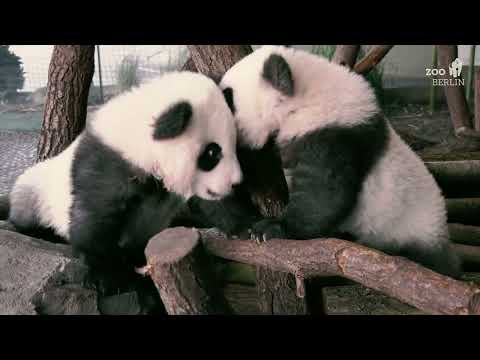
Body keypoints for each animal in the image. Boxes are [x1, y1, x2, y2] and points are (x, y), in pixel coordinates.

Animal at [9, 73, 244, 310]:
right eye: (212, 153)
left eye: (234, 144)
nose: (236, 182)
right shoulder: (106, 164)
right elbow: (94, 217)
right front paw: (109, 279)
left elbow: (209, 203)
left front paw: (248, 226)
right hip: (35, 193)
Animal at [216, 45, 460, 276]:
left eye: (228, 97)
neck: (305, 93)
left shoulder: (332, 133)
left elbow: (324, 191)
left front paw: (272, 228)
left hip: (410, 229)